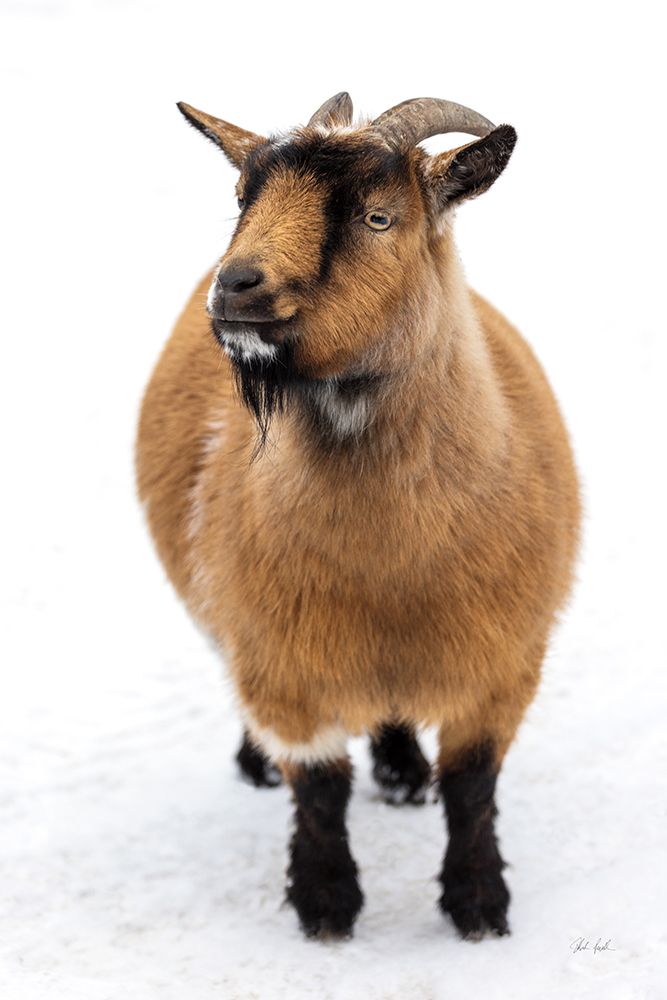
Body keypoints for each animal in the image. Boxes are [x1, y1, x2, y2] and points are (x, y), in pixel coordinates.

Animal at [136, 92, 580, 941]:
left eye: (378, 218)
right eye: (241, 200)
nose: (235, 287)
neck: (390, 568)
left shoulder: (503, 662)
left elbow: (472, 787)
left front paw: (478, 908)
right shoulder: (282, 663)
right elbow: (319, 789)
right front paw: (325, 906)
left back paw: (403, 770)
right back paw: (259, 766)